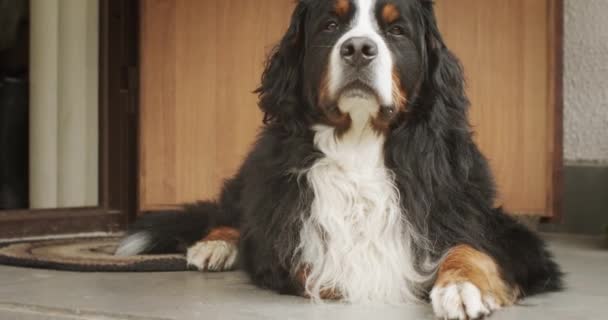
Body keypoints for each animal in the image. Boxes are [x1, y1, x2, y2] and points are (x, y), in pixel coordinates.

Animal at [116, 1, 564, 318]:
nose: (359, 49)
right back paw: (215, 245)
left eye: (395, 29)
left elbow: (470, 251)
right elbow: (317, 259)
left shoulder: (495, 227)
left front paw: (459, 287)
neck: (360, 142)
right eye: (330, 25)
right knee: (234, 214)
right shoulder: (287, 236)